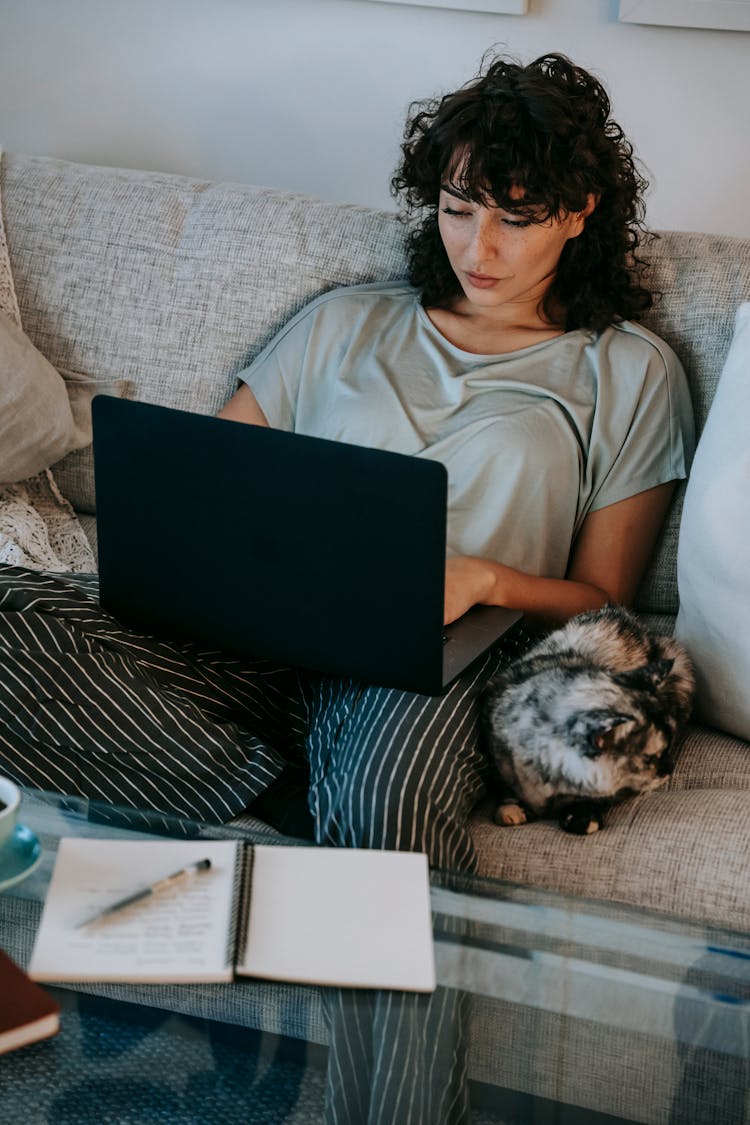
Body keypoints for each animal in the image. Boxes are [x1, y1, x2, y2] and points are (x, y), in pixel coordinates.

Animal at [483, 607, 697, 837]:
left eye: (669, 748)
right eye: (650, 759)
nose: (671, 767)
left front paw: (581, 817)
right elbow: (505, 787)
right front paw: (510, 809)